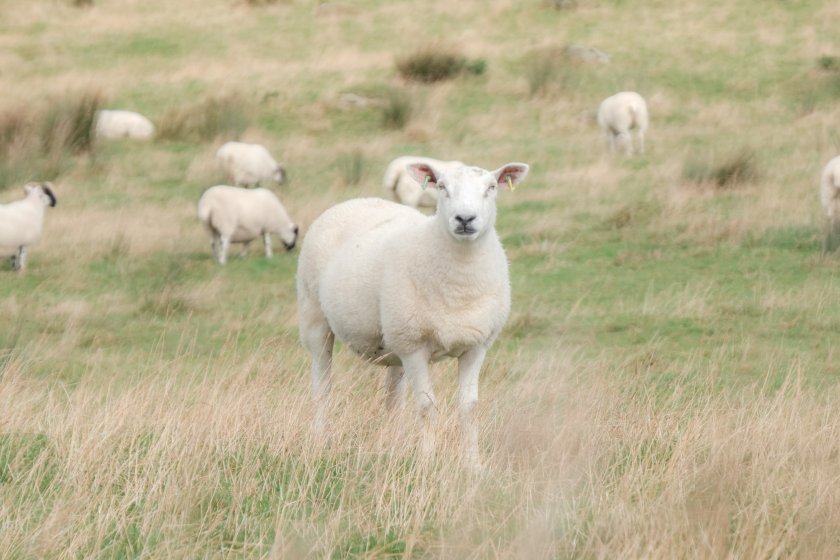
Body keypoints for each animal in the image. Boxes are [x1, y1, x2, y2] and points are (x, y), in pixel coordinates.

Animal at [298, 160, 528, 466]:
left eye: (491, 188)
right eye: (441, 186)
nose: (464, 219)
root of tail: (355, 200)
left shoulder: (476, 346)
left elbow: (469, 408)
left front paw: (473, 465)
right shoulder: (415, 348)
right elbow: (427, 407)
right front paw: (427, 462)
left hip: (395, 340)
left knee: (393, 399)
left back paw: (392, 446)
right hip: (316, 318)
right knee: (322, 387)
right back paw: (321, 440)